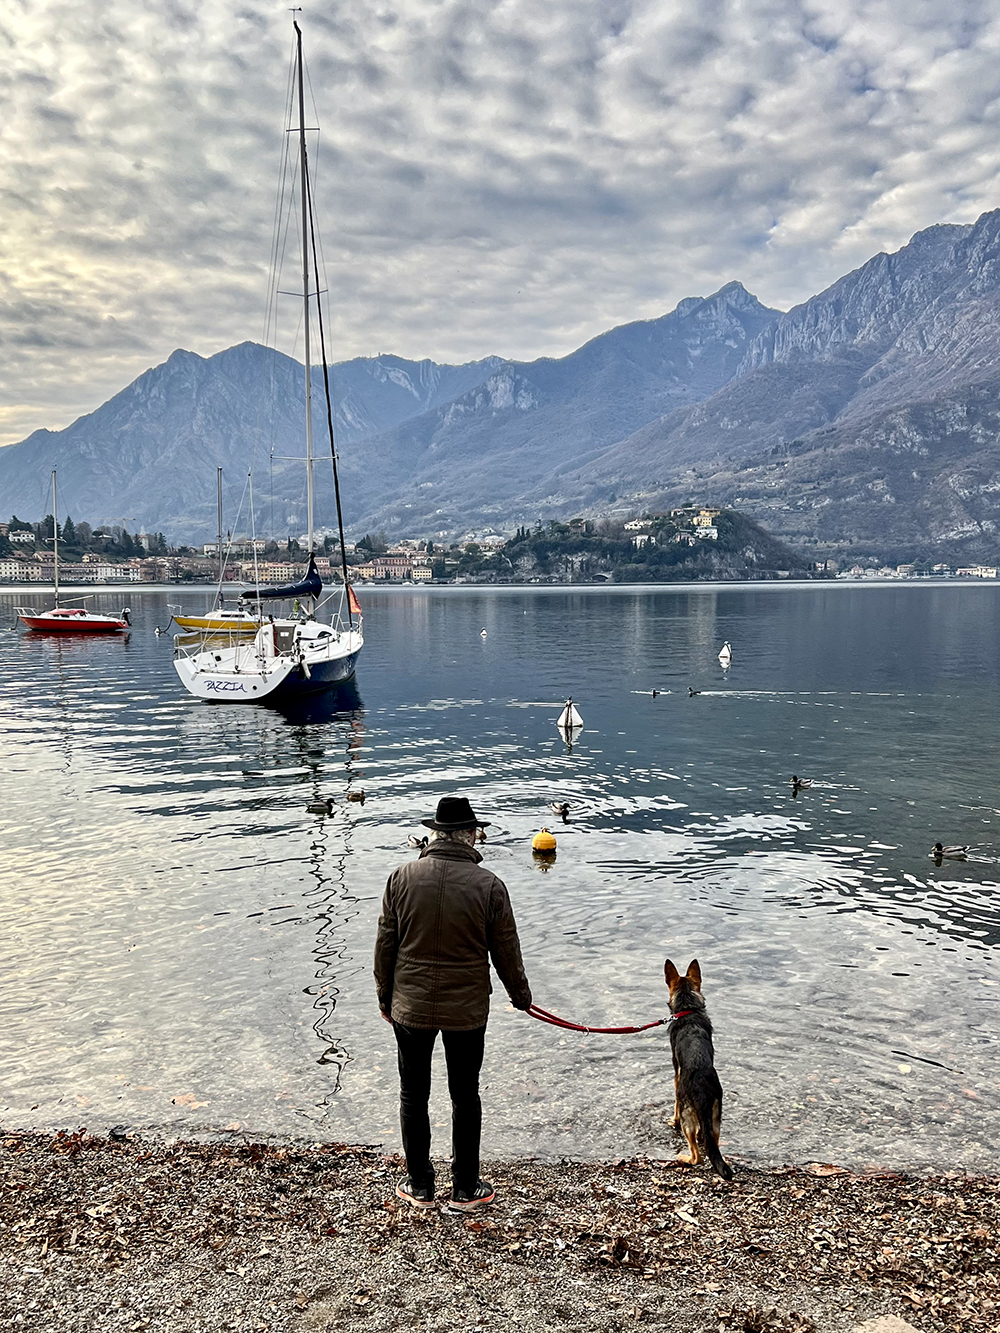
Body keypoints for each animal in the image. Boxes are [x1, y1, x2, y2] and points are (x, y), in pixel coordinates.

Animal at [669, 959, 730, 1178]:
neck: (689, 1009)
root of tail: (701, 1088)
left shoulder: (675, 1072)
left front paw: (672, 1120)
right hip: (715, 1116)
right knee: (713, 1143)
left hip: (689, 1117)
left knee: (697, 1156)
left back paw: (684, 1158)